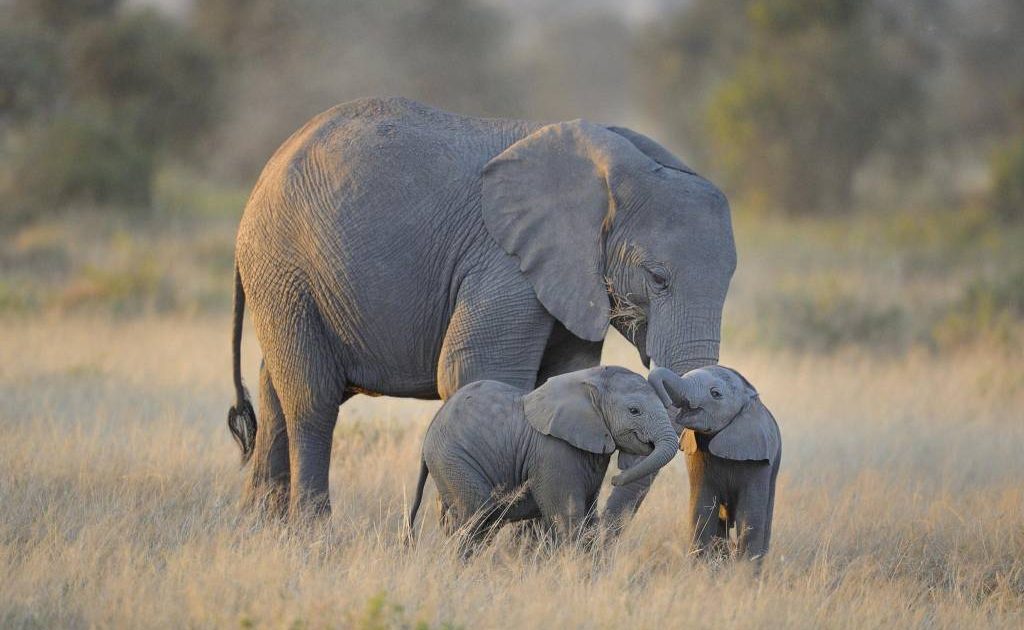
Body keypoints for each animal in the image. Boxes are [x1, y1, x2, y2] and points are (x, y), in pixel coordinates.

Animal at [227, 97, 733, 522]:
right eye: (657, 278)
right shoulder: (503, 262)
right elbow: (476, 371)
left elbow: (562, 377)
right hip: (284, 267)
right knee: (312, 400)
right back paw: (313, 533)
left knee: (275, 391)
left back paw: (261, 530)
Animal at [407, 364, 679, 549]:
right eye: (634, 411)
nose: (616, 479)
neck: (588, 380)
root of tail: (431, 428)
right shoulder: (553, 452)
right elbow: (568, 518)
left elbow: (588, 517)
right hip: (453, 460)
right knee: (477, 517)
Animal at [647, 364, 782, 561]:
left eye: (715, 394)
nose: (665, 403)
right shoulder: (697, 455)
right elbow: (702, 511)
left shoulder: (759, 461)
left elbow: (750, 517)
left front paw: (744, 570)